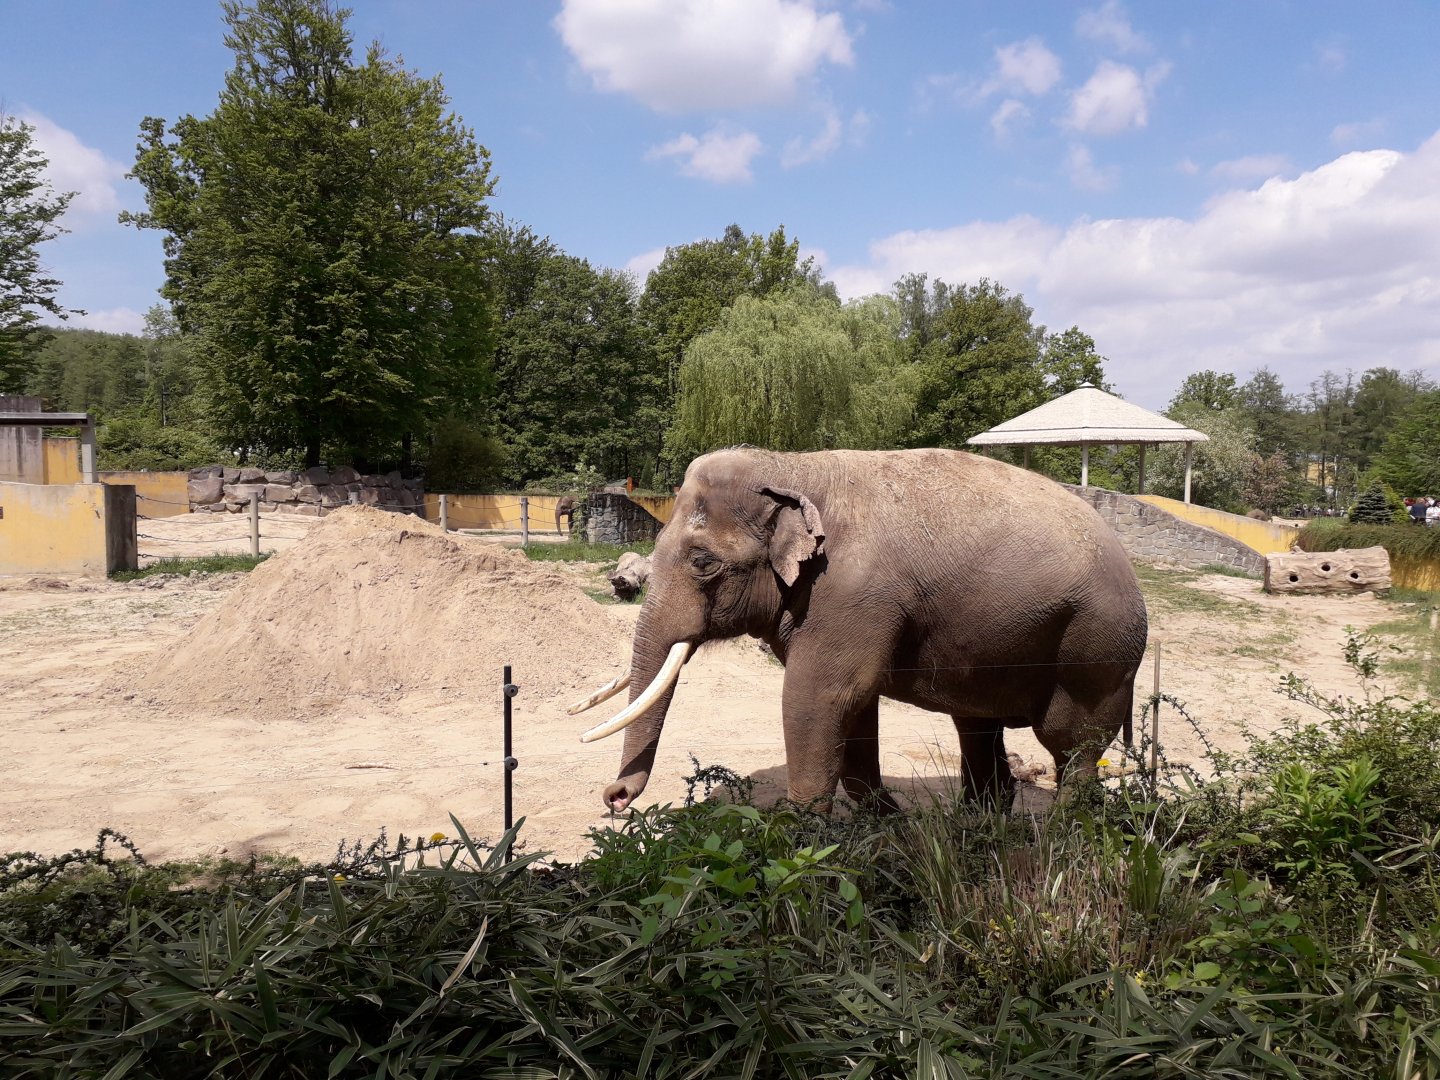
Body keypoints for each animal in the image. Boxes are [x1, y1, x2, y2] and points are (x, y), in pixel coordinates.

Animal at [574, 447, 1149, 814]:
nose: (613, 798)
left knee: (1072, 747)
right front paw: (890, 829)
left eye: (702, 563)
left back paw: (1061, 833)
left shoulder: (848, 594)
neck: (793, 465)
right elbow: (855, 709)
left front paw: (801, 847)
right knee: (978, 730)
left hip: (1097, 650)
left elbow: (818, 698)